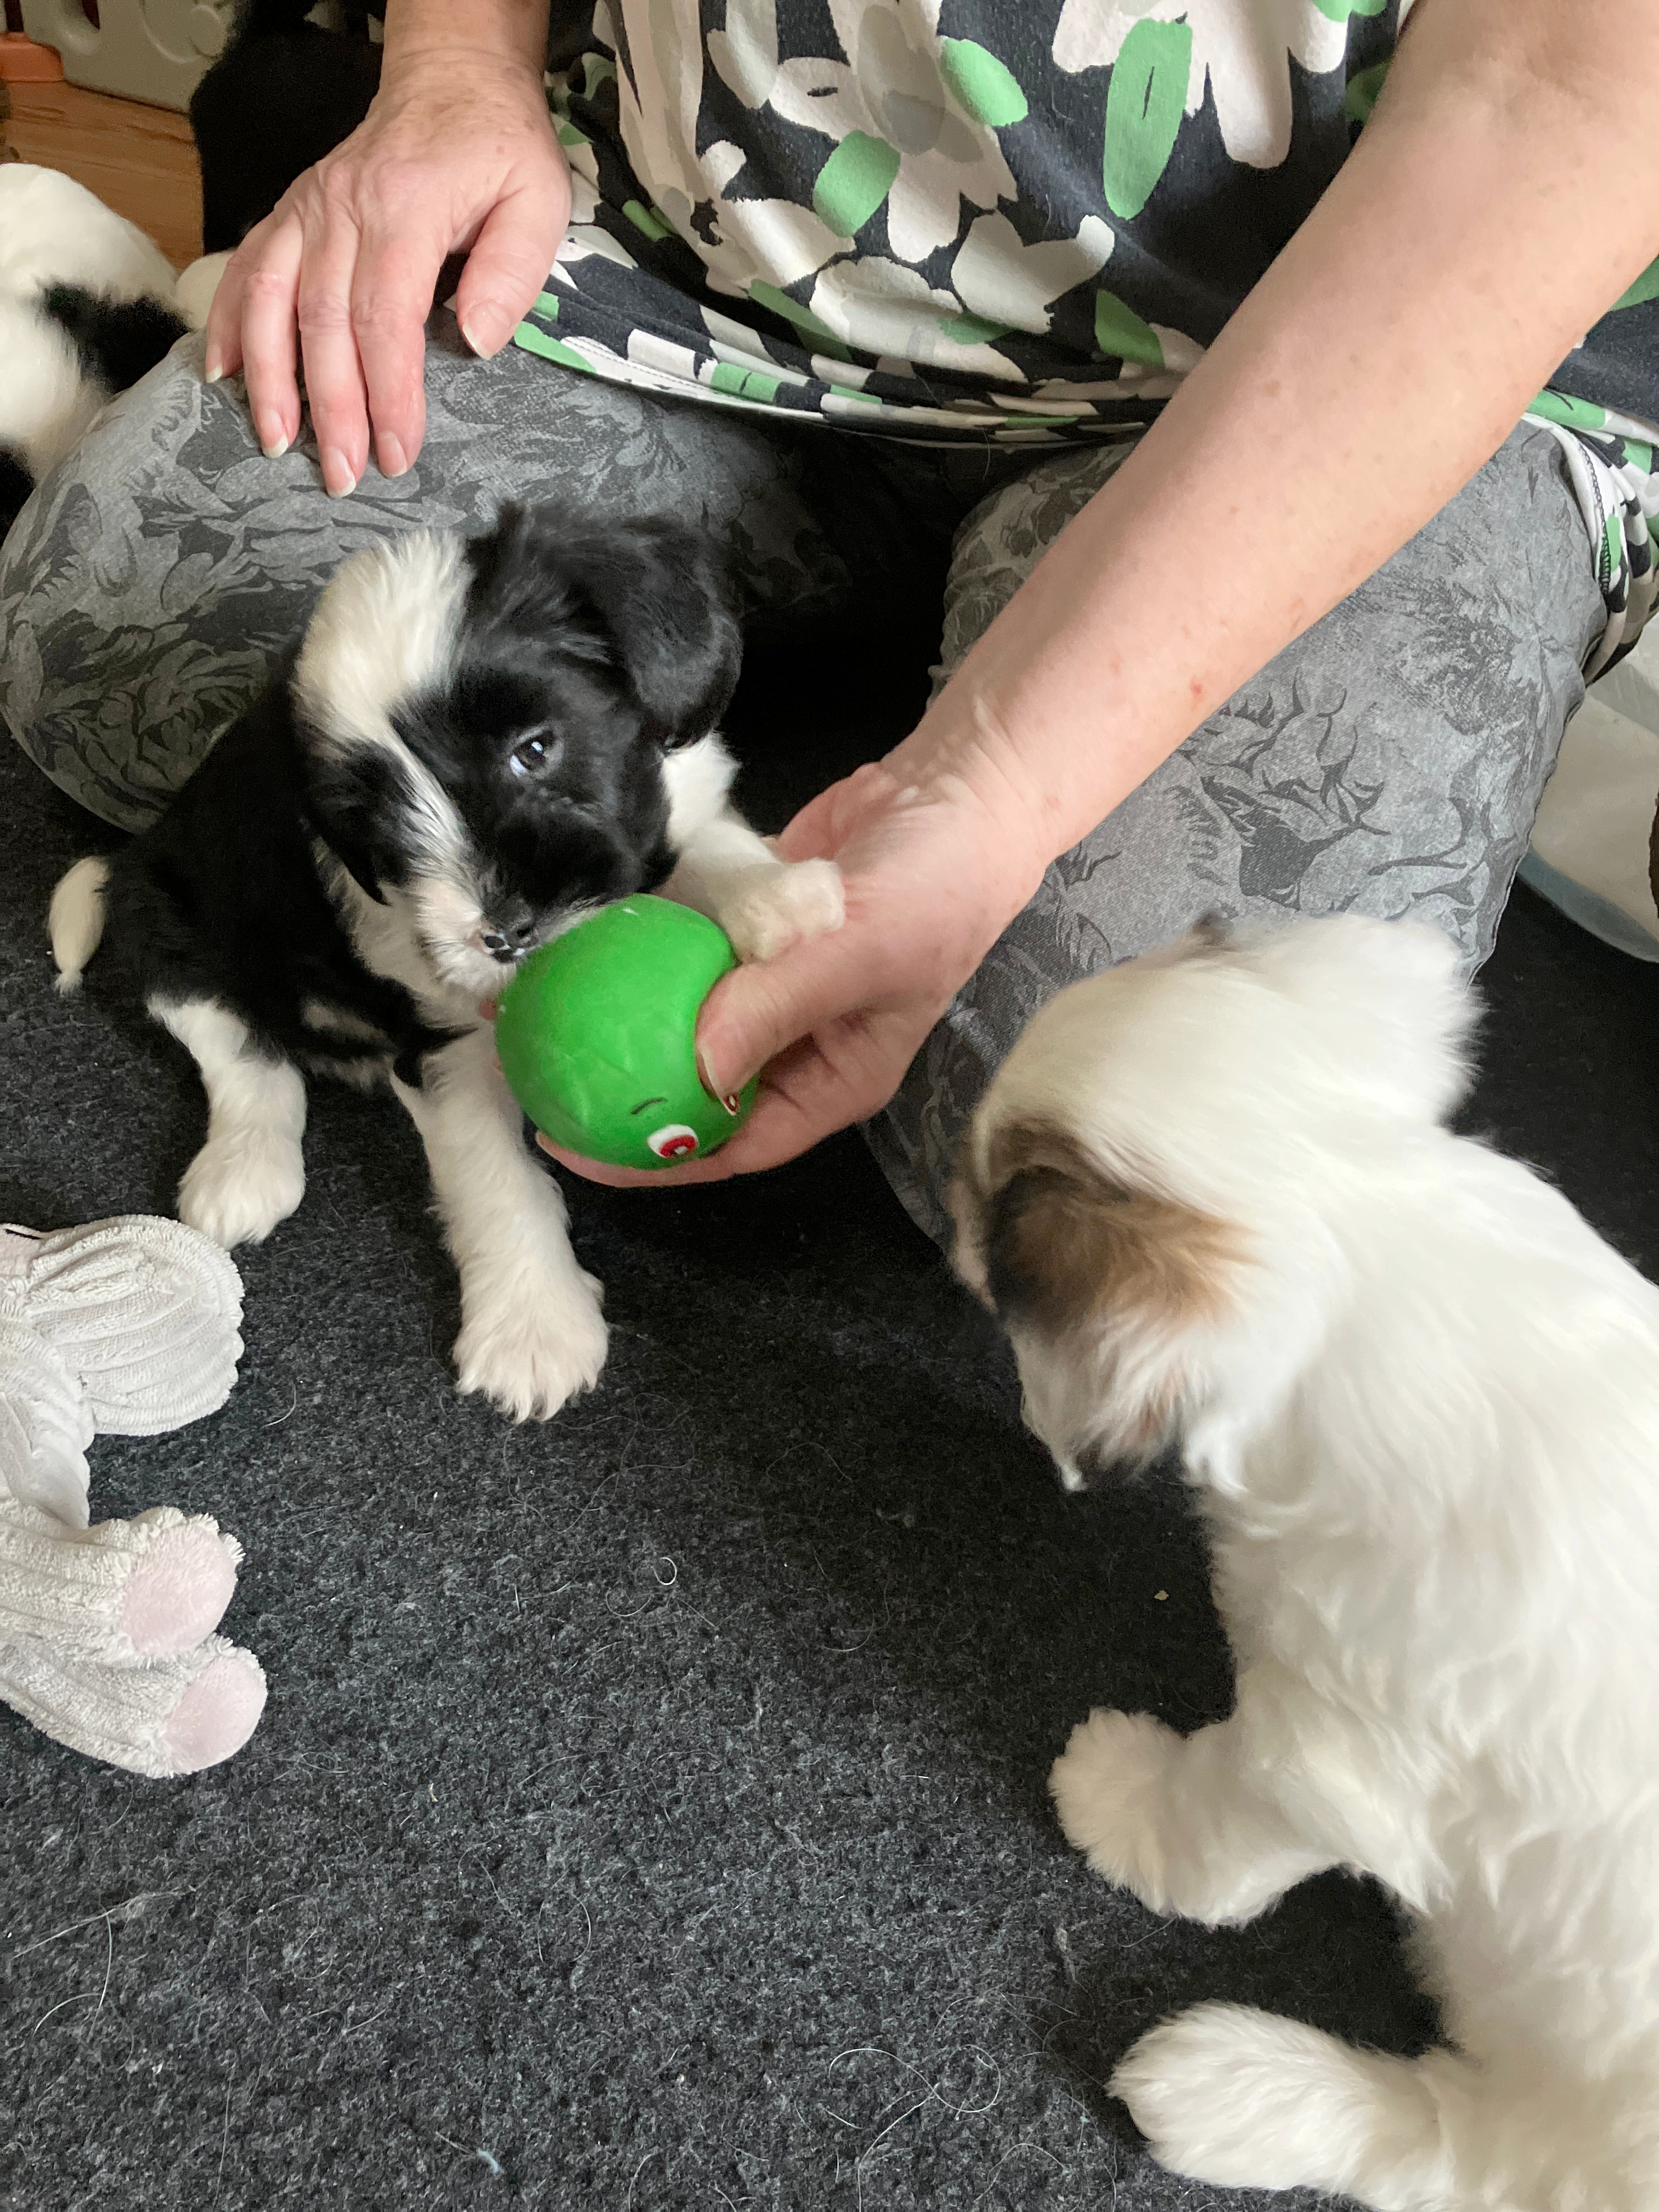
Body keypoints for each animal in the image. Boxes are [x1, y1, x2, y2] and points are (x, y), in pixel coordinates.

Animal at [49, 504, 843, 1421]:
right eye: (378, 820)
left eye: (536, 748)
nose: (507, 933)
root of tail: (134, 852)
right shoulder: (442, 1041)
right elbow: (495, 1179)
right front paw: (533, 1330)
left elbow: (698, 841)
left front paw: (779, 898)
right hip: (170, 916)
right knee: (237, 1044)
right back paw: (245, 1169)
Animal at [949, 915, 1659, 2212]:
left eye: (1003, 1207)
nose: (949, 1205)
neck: (1376, 1246)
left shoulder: (1320, 1750)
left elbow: (1216, 1824)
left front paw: (1121, 1796)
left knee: (1455, 2152)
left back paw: (1230, 2086)